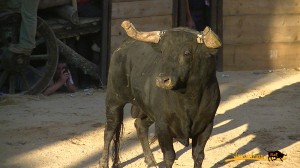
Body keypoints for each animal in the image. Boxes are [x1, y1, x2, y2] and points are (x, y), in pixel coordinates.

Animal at [99, 26, 221, 167]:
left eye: (187, 53)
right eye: (163, 52)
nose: (162, 80)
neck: (188, 100)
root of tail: (123, 46)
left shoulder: (206, 125)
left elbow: (198, 155)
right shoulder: (163, 126)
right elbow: (169, 156)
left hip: (147, 110)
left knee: (140, 126)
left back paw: (151, 161)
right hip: (114, 100)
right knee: (109, 130)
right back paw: (103, 163)